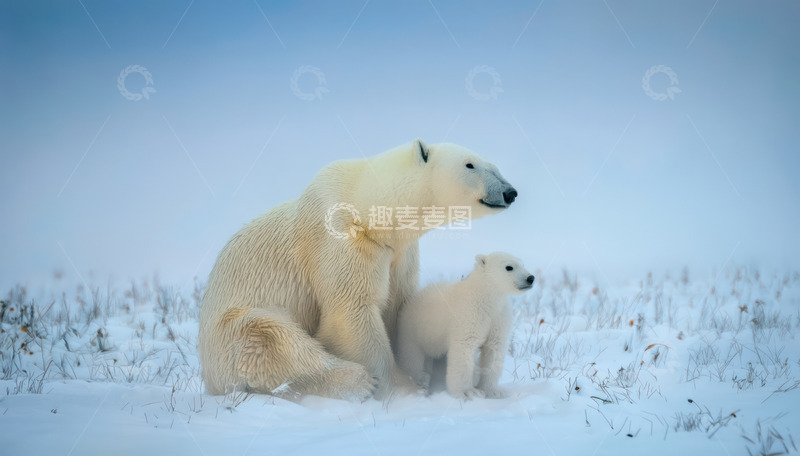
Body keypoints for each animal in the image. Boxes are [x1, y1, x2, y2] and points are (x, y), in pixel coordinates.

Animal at [198, 139, 517, 401]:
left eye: (495, 165)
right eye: (470, 164)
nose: (510, 192)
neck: (365, 207)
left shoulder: (398, 253)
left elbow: (398, 305)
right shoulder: (342, 236)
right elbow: (351, 310)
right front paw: (401, 387)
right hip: (226, 338)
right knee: (267, 336)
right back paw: (355, 381)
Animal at [396, 252, 534, 399]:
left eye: (523, 264)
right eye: (509, 267)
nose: (530, 278)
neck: (485, 297)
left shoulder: (499, 317)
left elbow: (494, 350)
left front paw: (494, 391)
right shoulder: (469, 315)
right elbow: (464, 348)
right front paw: (467, 392)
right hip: (413, 330)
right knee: (412, 358)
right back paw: (419, 383)